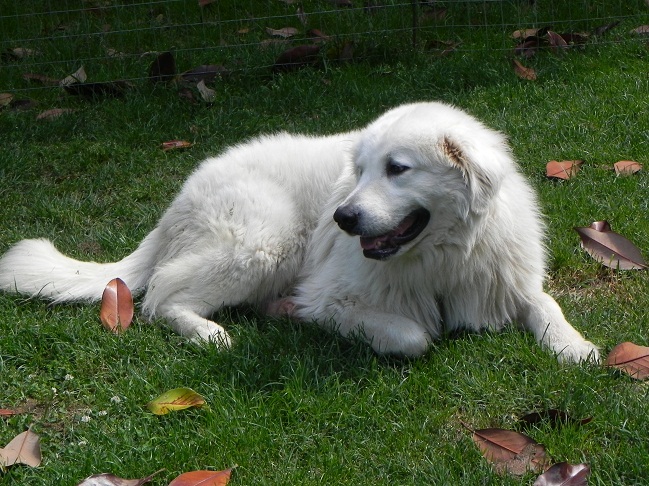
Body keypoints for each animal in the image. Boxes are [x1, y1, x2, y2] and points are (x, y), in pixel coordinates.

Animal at [0, 102, 599, 363]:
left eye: (397, 169)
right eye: (358, 170)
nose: (342, 219)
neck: (443, 255)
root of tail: (182, 194)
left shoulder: (507, 282)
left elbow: (546, 306)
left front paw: (577, 346)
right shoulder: (334, 296)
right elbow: (413, 336)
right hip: (267, 240)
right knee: (160, 296)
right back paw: (207, 331)